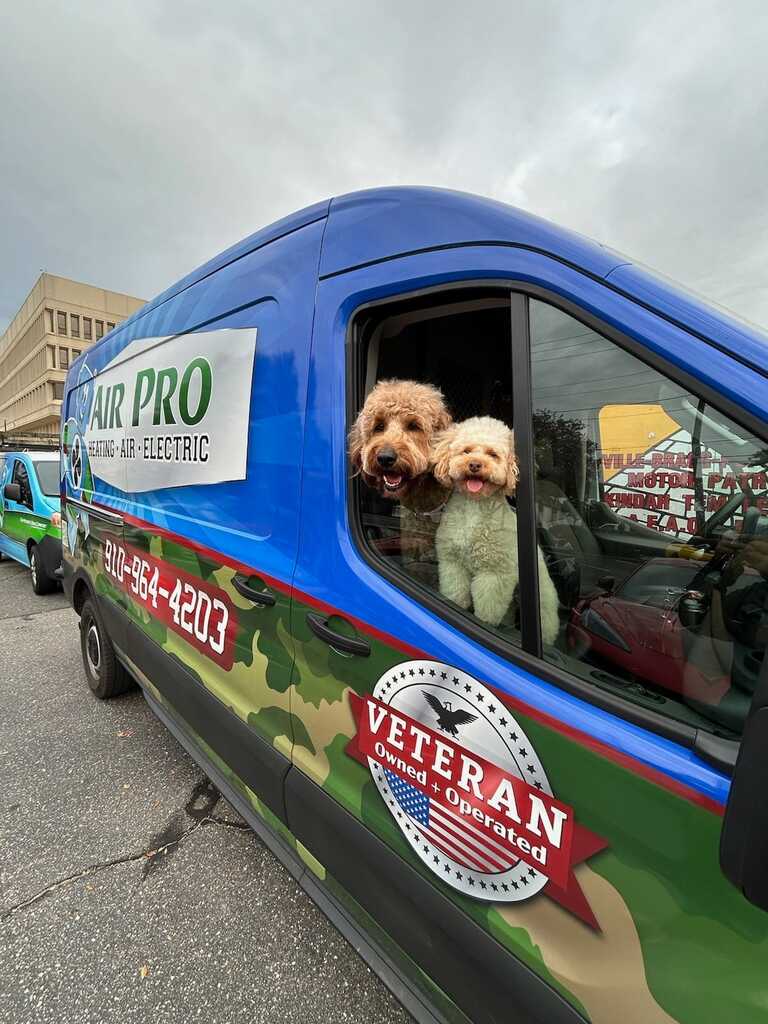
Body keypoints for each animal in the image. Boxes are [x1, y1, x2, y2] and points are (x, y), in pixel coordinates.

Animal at [431, 416, 560, 642]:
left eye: (493, 454)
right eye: (466, 451)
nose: (475, 464)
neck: (474, 506)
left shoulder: (494, 574)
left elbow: (487, 610)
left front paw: (485, 624)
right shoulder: (453, 563)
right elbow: (455, 594)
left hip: (544, 604)